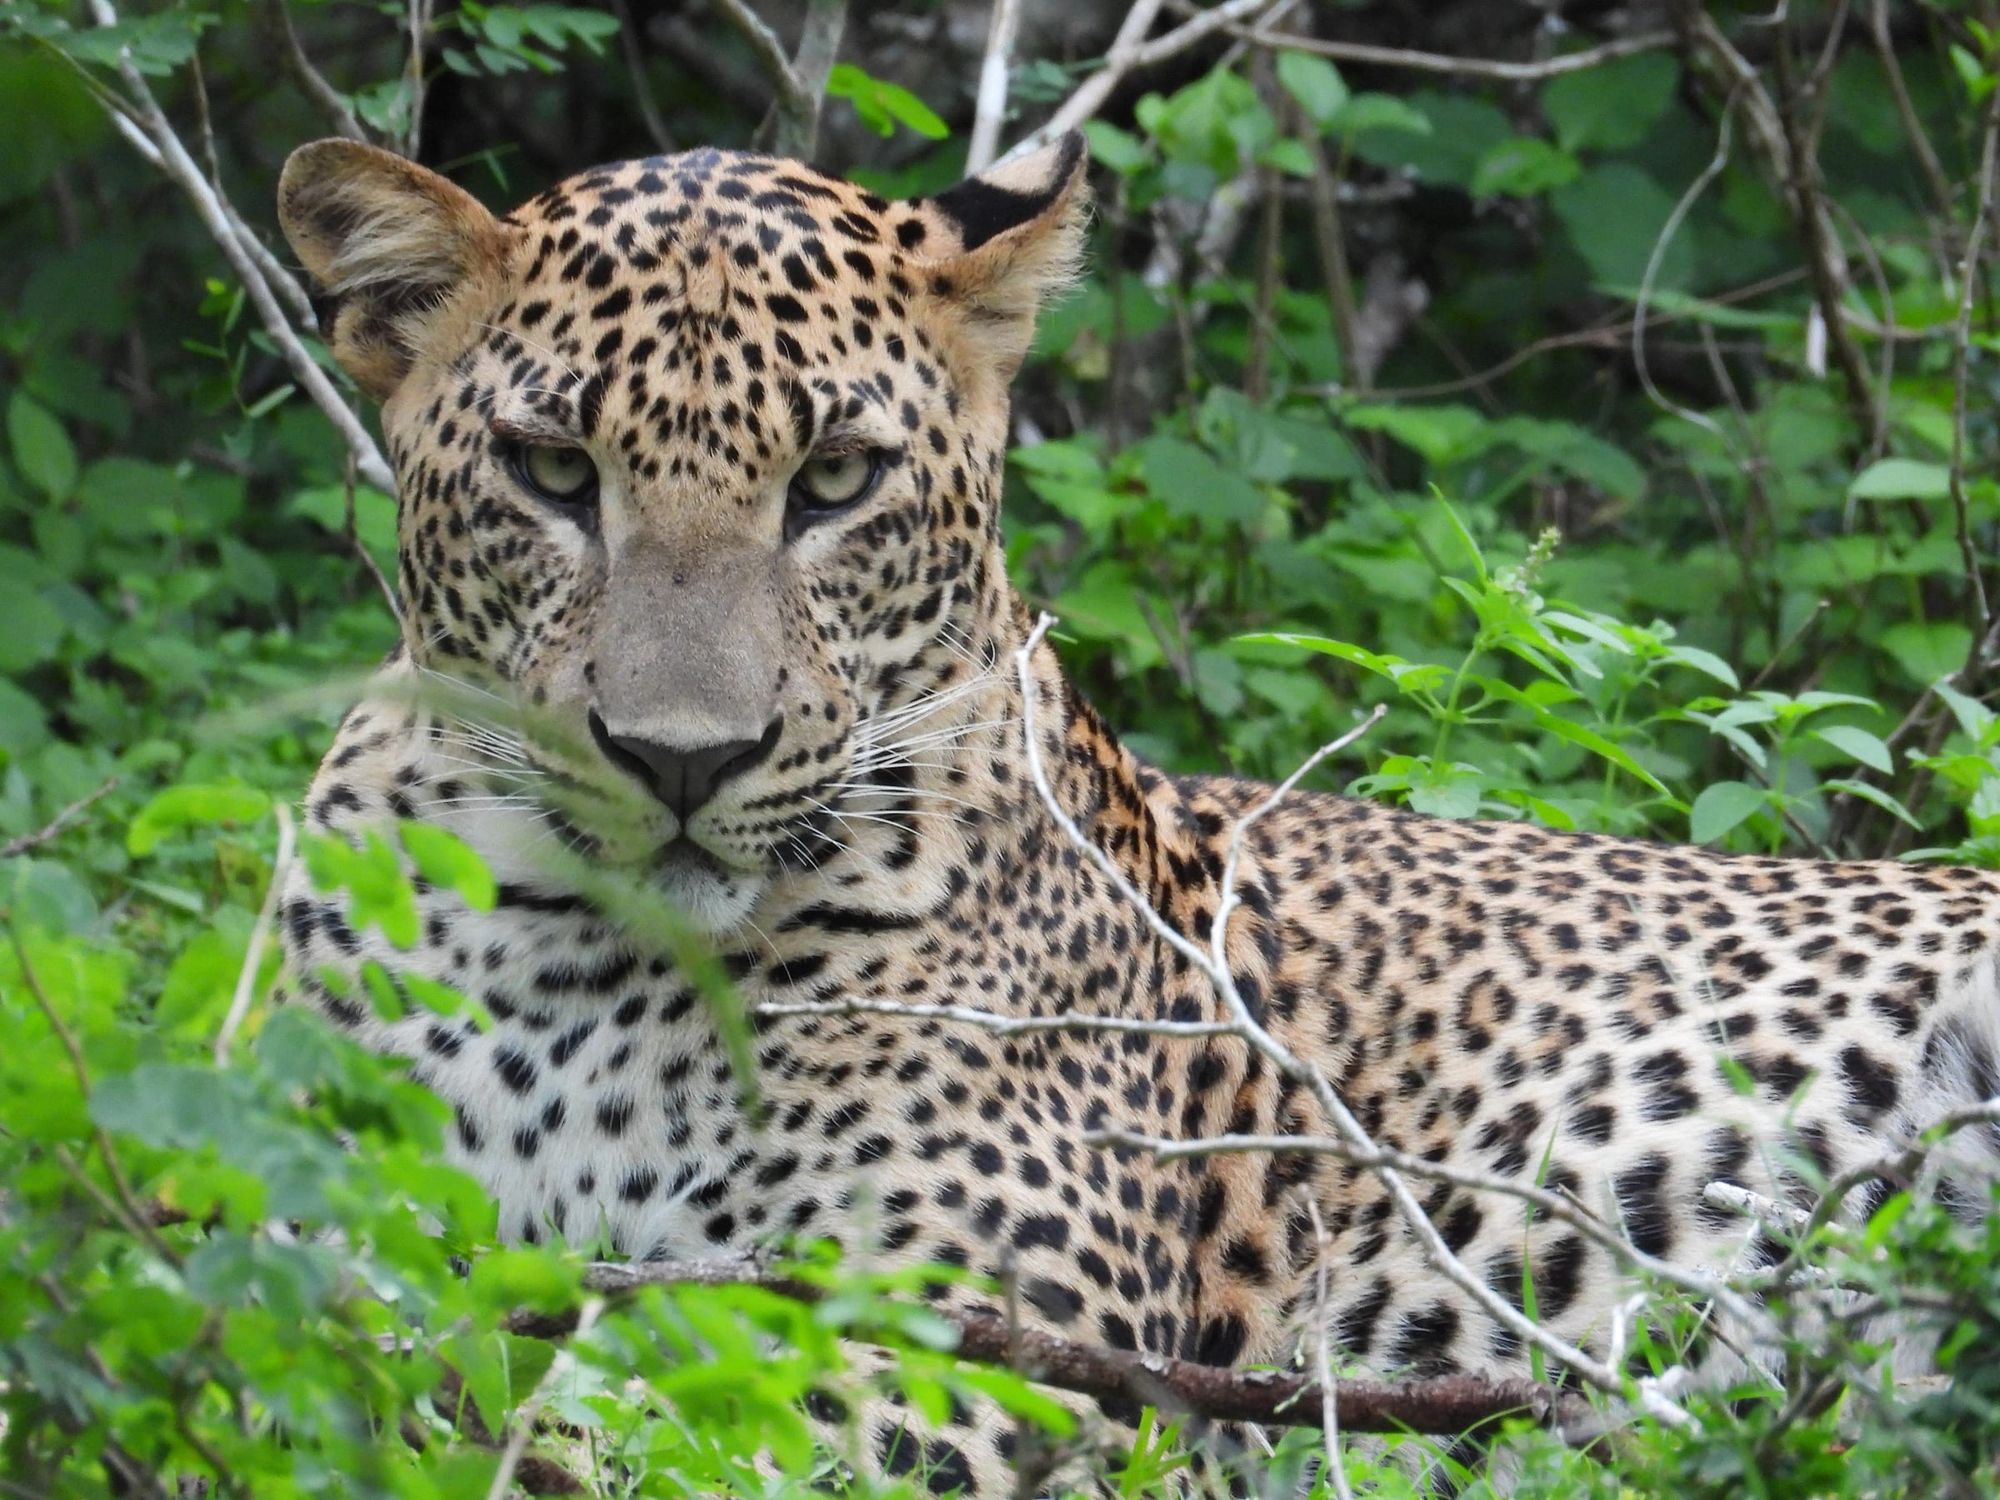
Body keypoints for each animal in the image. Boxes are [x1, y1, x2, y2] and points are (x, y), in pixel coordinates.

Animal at [273, 131, 2000, 1492]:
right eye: (554, 471)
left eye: (833, 481)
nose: (682, 759)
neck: (573, 949)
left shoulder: (966, 1338)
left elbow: (611, 1419)